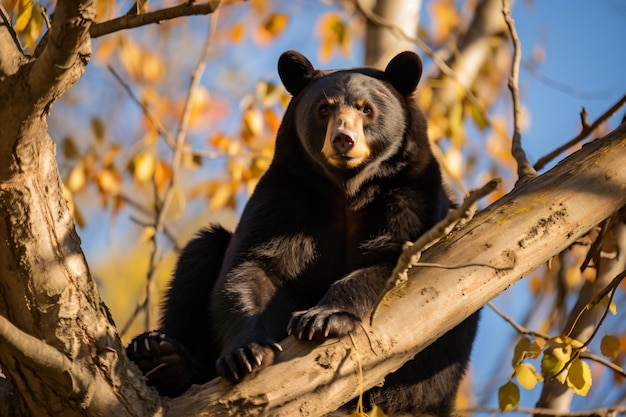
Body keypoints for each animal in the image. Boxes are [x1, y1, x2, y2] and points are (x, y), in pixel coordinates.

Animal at [128, 49, 478, 416]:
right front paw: (245, 353)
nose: (343, 140)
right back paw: (161, 355)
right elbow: (254, 265)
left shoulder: (410, 194)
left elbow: (394, 258)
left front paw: (321, 319)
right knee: (200, 255)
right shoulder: (287, 194)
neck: (346, 189)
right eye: (324, 109)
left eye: (366, 108)